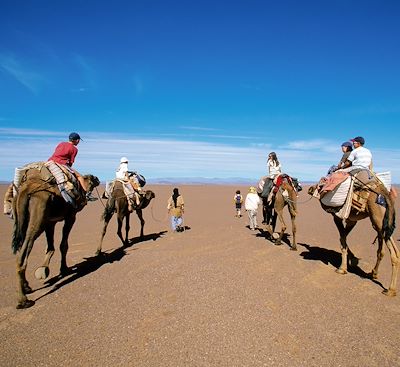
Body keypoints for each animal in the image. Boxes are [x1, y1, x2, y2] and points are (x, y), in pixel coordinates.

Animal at [9, 168, 100, 310]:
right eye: (92, 178)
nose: (98, 179)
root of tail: (24, 190)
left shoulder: (50, 222)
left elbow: (50, 247)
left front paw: (44, 269)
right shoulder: (70, 216)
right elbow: (64, 245)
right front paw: (64, 269)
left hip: (22, 220)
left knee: (21, 248)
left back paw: (27, 287)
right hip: (37, 218)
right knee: (22, 255)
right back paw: (23, 300)